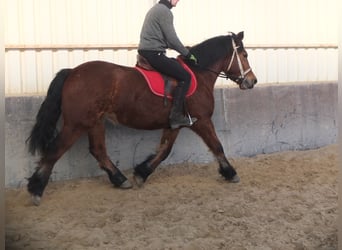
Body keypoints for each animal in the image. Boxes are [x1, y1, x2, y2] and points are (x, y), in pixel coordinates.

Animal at [26, 31, 256, 205]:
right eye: (244, 54)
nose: (252, 81)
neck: (198, 74)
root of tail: (73, 72)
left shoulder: (174, 125)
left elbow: (164, 151)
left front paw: (141, 173)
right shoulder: (202, 120)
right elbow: (217, 146)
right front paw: (230, 173)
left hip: (95, 122)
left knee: (98, 150)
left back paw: (120, 179)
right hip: (76, 124)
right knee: (56, 150)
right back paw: (36, 190)